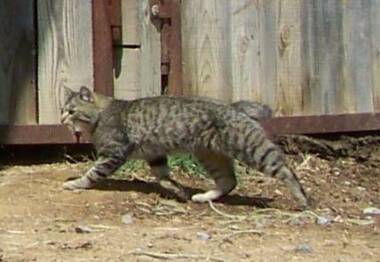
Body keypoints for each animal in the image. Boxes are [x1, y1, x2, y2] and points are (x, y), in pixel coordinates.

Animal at [60, 86, 308, 209]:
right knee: (229, 181)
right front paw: (179, 191)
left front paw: (76, 183)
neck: (101, 114)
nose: (61, 118)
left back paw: (302, 200)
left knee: (285, 170)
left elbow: (92, 174)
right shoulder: (155, 154)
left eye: (71, 111)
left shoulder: (113, 153)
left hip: (252, 149)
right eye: (63, 109)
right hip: (211, 156)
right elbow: (163, 178)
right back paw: (204, 197)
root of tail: (233, 106)